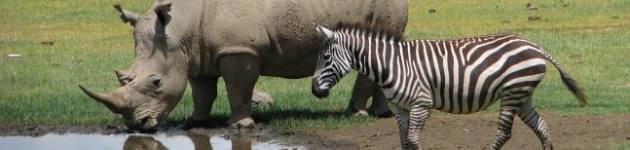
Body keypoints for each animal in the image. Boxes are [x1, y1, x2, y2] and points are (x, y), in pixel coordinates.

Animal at [78, 0, 410, 130]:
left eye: (155, 82)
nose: (137, 125)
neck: (180, 29)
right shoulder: (198, 52)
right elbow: (202, 92)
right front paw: (195, 122)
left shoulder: (240, 49)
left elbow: (238, 88)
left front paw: (241, 125)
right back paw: (381, 113)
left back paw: (356, 114)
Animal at [312, 22, 588, 149]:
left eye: (325, 57)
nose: (314, 91)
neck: (392, 65)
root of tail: (535, 45)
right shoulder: (400, 108)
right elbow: (404, 141)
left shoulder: (422, 104)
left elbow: (413, 140)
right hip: (522, 93)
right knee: (541, 126)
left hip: (512, 92)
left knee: (504, 133)